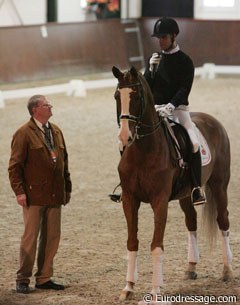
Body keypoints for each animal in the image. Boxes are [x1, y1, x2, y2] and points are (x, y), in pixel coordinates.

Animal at [112, 65, 232, 300]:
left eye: (136, 96)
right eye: (116, 97)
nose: (124, 137)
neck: (143, 150)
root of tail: (214, 122)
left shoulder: (159, 202)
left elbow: (156, 244)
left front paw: (155, 290)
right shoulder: (129, 200)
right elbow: (132, 242)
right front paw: (128, 287)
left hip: (219, 185)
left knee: (223, 221)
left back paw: (227, 270)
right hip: (186, 194)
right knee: (191, 222)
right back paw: (191, 267)